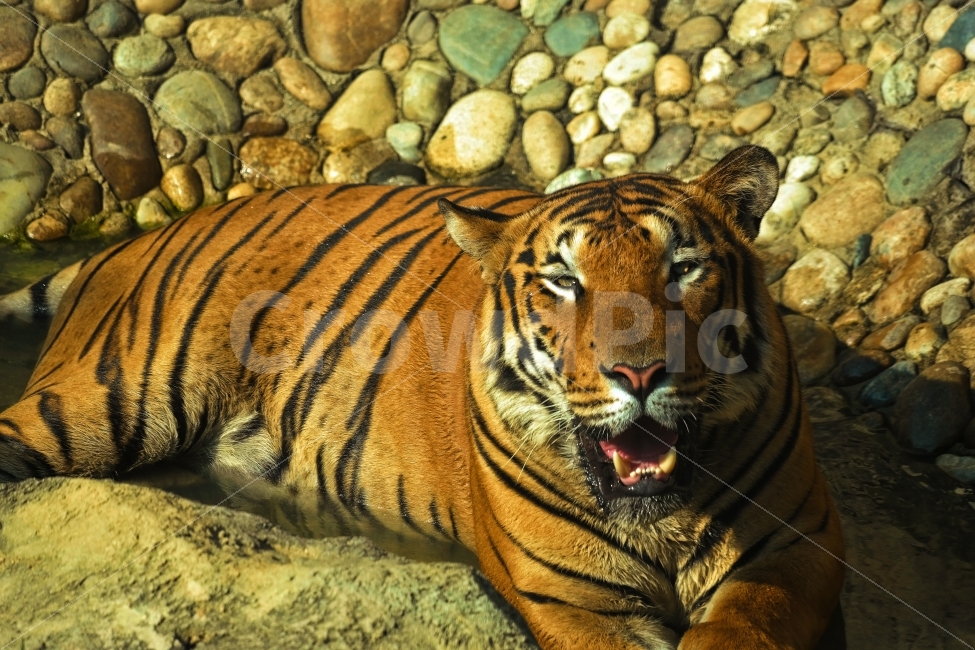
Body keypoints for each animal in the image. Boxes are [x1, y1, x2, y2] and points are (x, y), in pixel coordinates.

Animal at [0, 145, 844, 649]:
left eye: (682, 268)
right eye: (563, 281)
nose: (638, 374)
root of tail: (129, 242)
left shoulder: (793, 551)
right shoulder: (568, 597)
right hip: (104, 400)